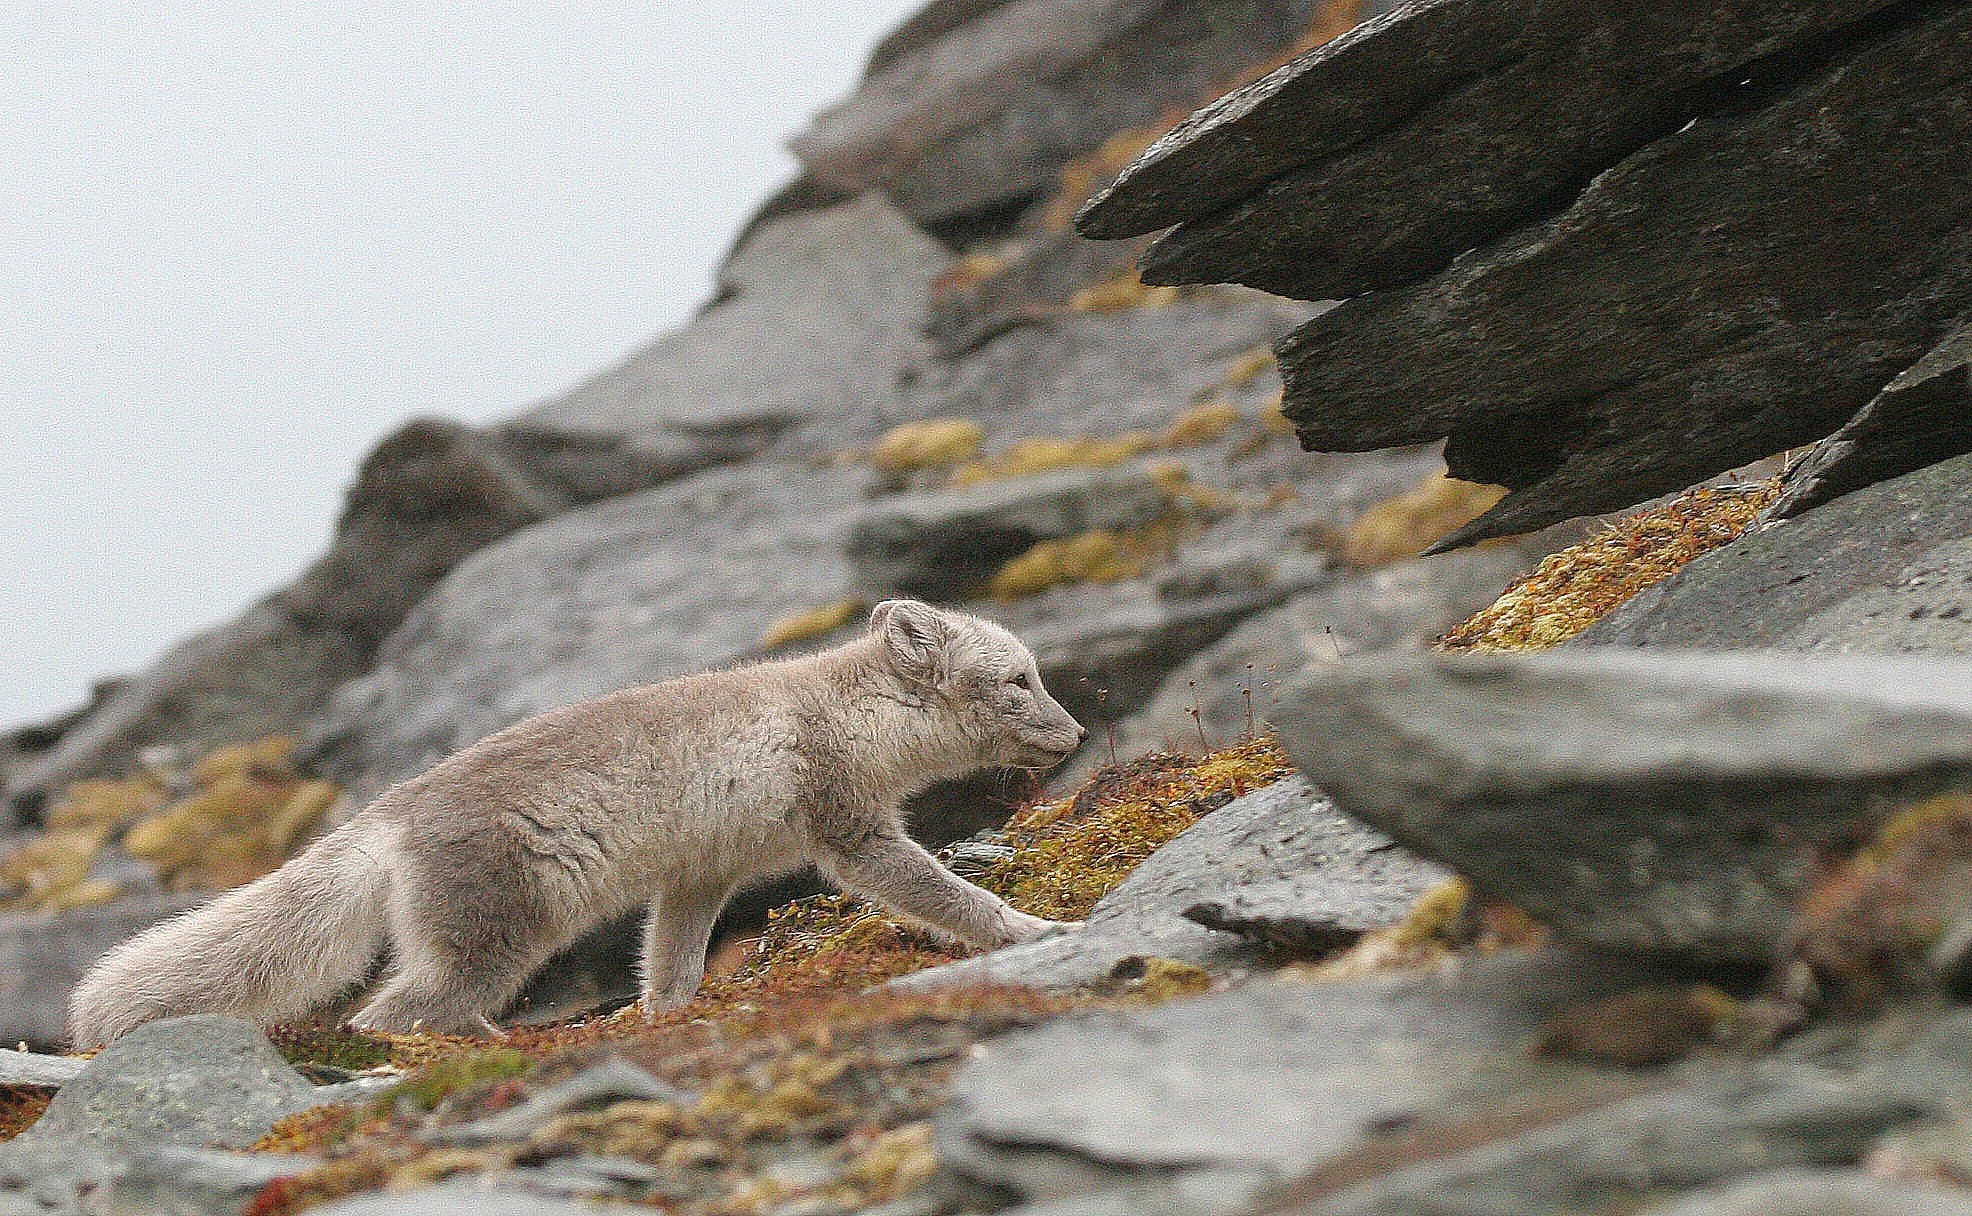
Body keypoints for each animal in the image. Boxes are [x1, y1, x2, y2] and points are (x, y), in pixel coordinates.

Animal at [67, 599, 1086, 1045]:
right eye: (1019, 681)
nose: (1078, 734)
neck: (848, 711)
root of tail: (390, 811)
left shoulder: (698, 874)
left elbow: (670, 962)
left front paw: (664, 1017)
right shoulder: (852, 828)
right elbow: (945, 895)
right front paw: (1035, 927)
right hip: (492, 939)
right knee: (382, 1014)